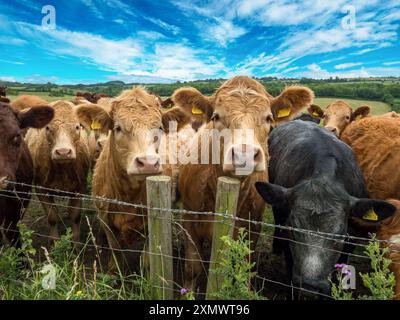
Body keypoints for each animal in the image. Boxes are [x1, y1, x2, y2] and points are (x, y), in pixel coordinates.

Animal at [25, 100, 90, 242]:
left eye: (77, 127)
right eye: (48, 128)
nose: (63, 152)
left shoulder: (80, 187)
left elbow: (75, 216)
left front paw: (76, 242)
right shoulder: (40, 188)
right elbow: (52, 216)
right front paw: (54, 241)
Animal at [75, 86, 191, 272]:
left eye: (159, 128)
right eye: (118, 128)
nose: (148, 163)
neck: (126, 194)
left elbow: (147, 258)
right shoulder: (104, 217)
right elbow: (115, 249)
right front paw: (114, 270)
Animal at [170, 75, 314, 296]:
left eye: (268, 118)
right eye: (216, 117)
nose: (243, 154)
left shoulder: (253, 227)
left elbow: (245, 268)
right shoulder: (189, 220)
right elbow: (192, 267)